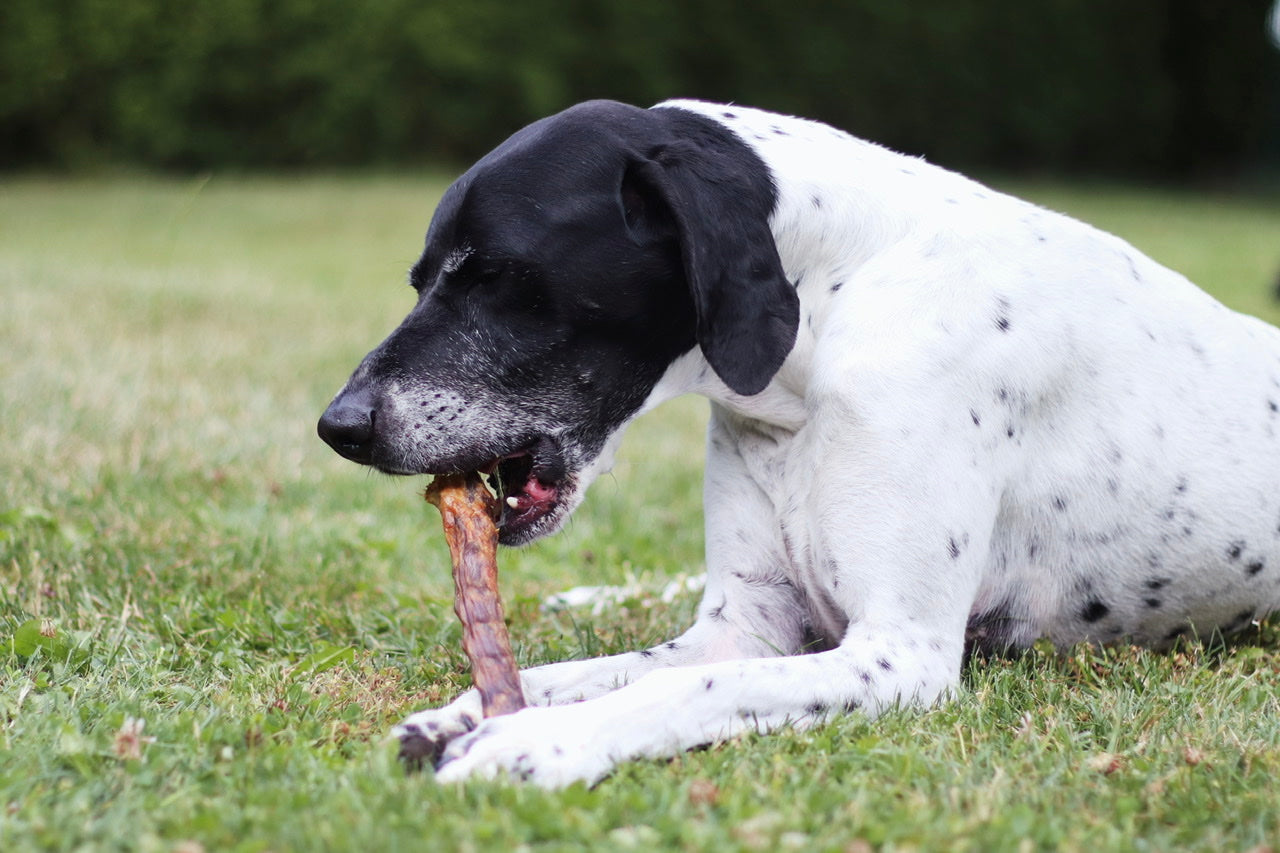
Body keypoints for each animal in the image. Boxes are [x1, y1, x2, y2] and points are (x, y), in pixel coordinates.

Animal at [317, 97, 1280, 783]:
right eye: (422, 279)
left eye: (497, 276)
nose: (339, 425)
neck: (833, 310)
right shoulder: (746, 622)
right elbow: (598, 667)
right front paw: (471, 709)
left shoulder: (898, 652)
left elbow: (687, 685)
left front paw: (536, 743)